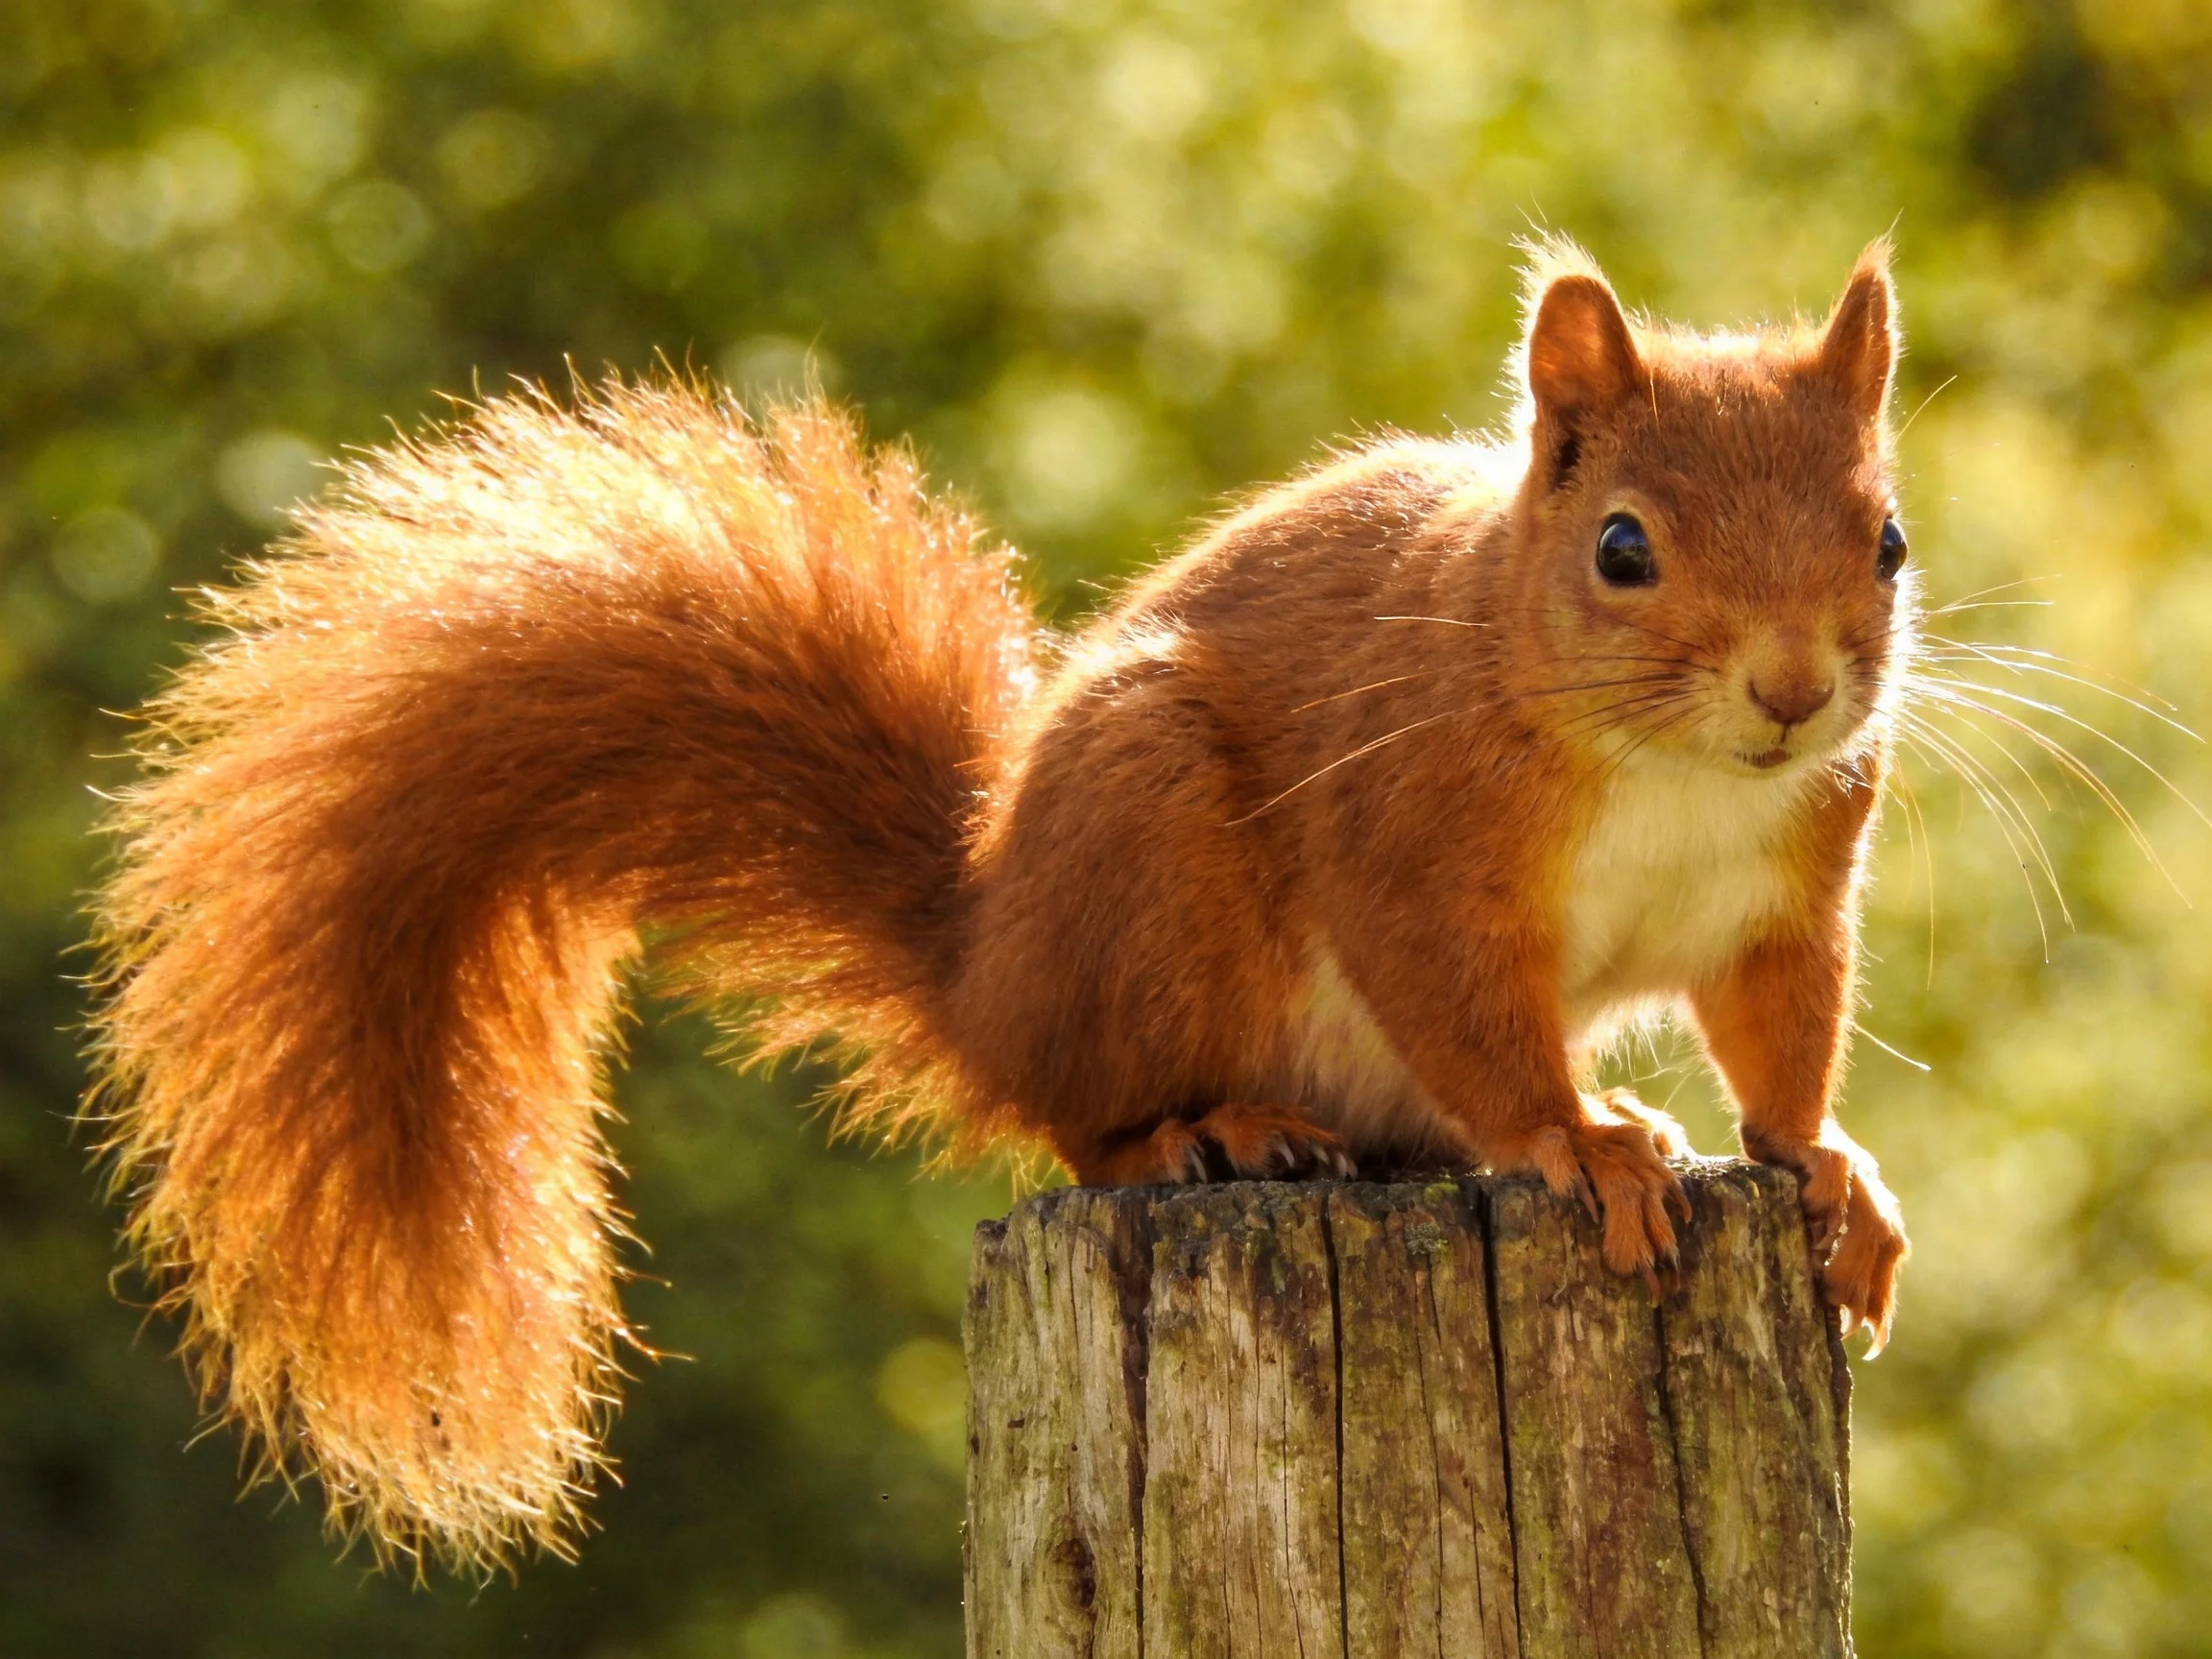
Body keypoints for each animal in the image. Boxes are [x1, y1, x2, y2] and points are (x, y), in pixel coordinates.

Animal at [86, 237, 1911, 1570]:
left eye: (1886, 539)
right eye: (1621, 548)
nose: (1791, 691)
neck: (1677, 774)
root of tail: (981, 974)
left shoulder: (1787, 897)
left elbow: (1780, 1034)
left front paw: (1826, 1172)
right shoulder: (1411, 845)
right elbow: (1468, 1016)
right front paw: (1582, 1142)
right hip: (1148, 855)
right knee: (1079, 1123)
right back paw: (1211, 1133)